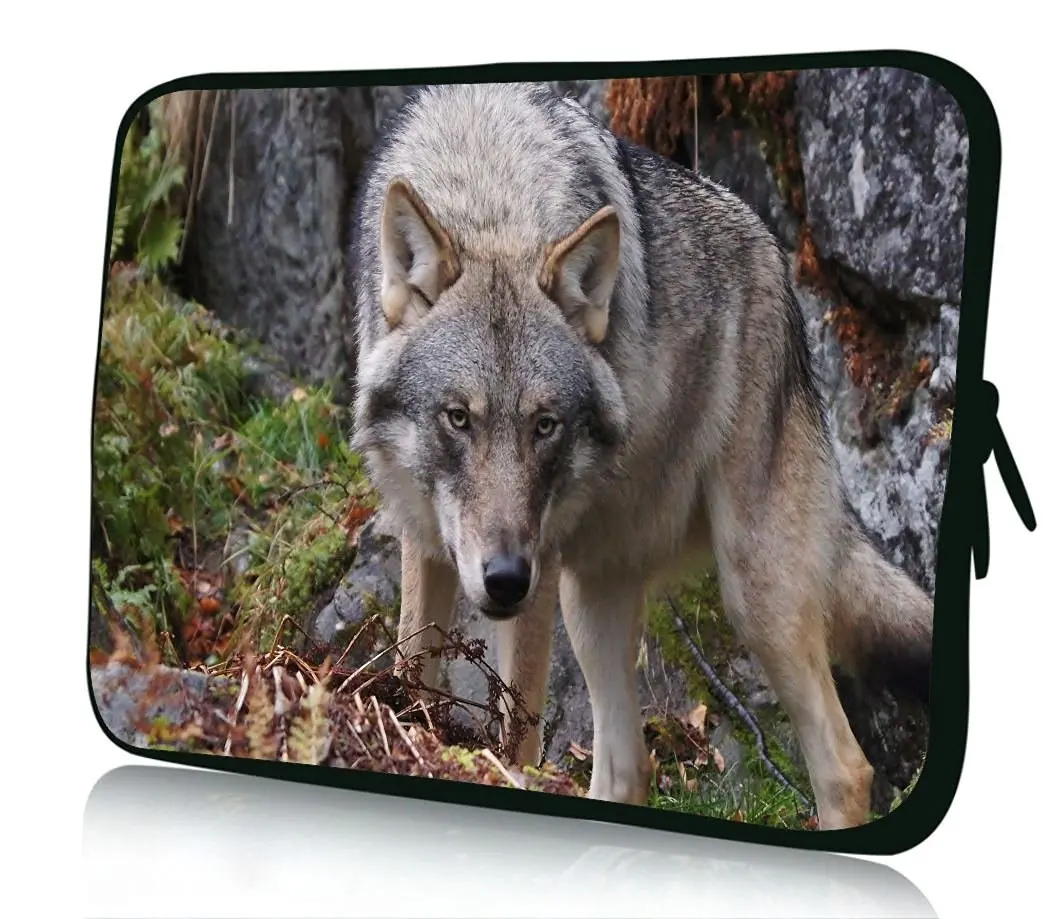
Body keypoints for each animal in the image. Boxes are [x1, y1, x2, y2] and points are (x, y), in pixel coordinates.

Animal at [348, 81, 934, 830]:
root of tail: (777, 261)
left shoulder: (538, 572)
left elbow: (519, 739)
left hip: (748, 593)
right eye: (458, 418)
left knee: (845, 767)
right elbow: (412, 670)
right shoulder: (425, 539)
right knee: (629, 770)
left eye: (545, 425)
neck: (489, 188)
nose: (505, 578)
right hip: (591, 593)